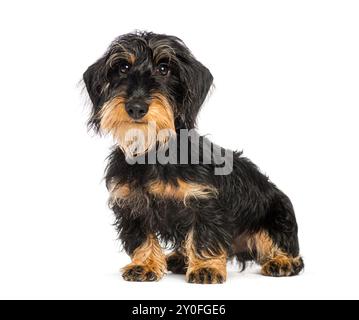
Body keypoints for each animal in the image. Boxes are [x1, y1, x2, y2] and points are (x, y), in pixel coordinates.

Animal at [82, 31, 304, 284]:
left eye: (164, 69)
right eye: (122, 67)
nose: (136, 107)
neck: (154, 152)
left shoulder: (205, 202)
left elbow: (204, 236)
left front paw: (205, 267)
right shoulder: (131, 205)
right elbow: (141, 237)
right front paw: (144, 264)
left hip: (276, 214)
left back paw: (283, 261)